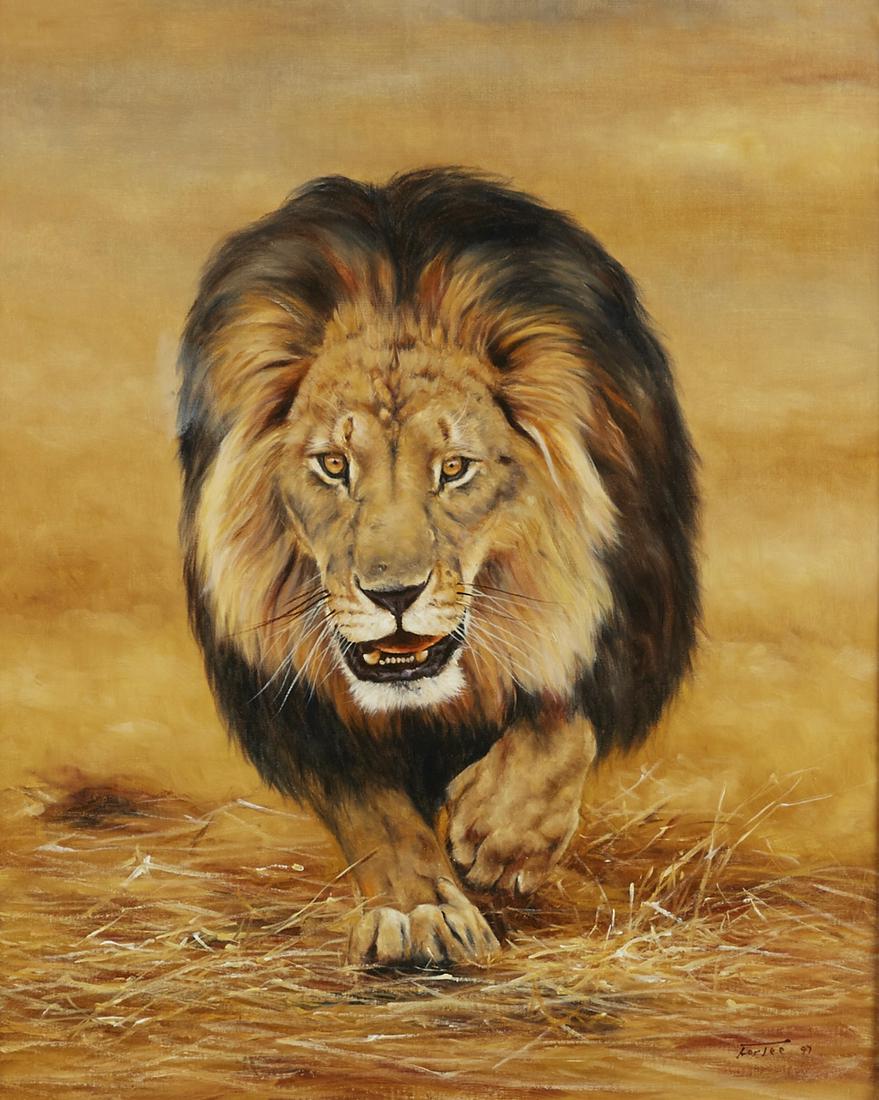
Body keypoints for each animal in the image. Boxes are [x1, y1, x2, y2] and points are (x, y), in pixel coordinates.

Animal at [177, 168, 699, 966]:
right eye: (333, 466)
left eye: (454, 469)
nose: (393, 595)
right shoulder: (291, 698)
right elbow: (373, 809)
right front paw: (417, 909)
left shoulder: (636, 613)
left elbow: (564, 718)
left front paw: (502, 834)